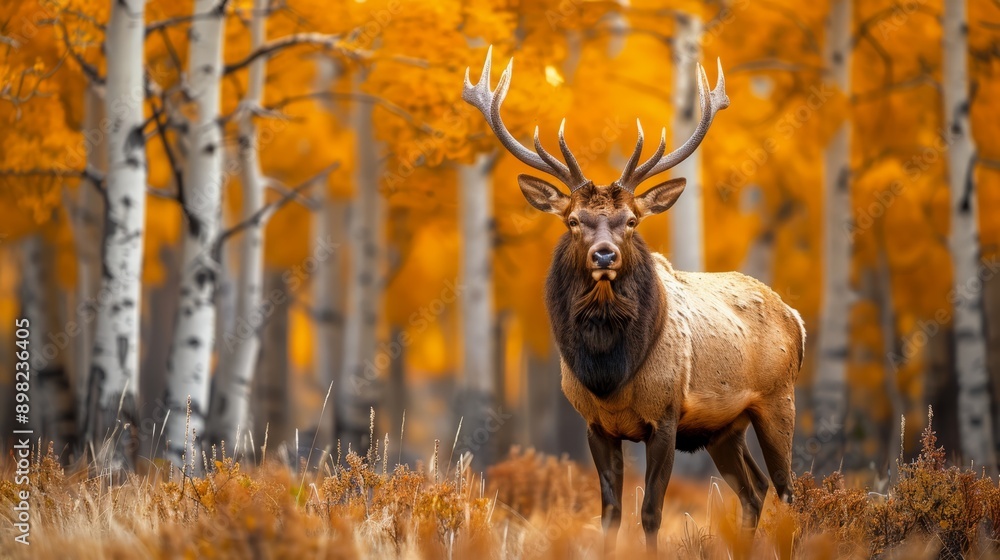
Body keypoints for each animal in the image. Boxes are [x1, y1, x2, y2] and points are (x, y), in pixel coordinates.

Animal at [463, 47, 806, 554]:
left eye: (631, 221)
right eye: (573, 220)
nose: (604, 254)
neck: (609, 376)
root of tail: (795, 318)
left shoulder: (664, 417)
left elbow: (650, 512)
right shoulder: (595, 425)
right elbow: (610, 513)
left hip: (778, 399)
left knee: (788, 489)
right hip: (725, 427)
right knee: (754, 489)